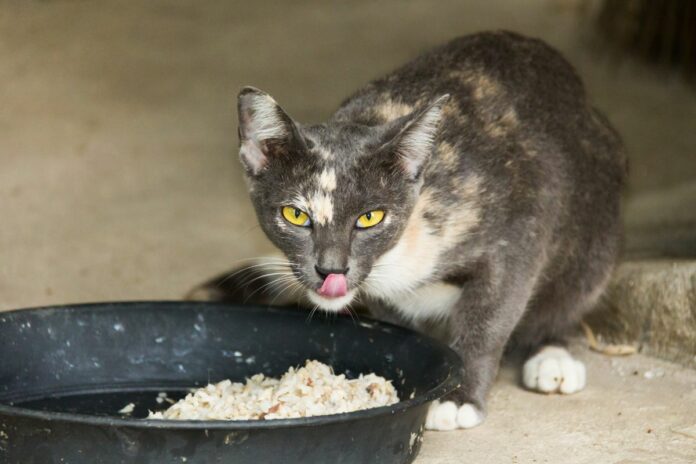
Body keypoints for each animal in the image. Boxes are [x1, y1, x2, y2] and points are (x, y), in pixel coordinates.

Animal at [190, 31, 624, 432]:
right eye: (296, 215)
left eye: (370, 218)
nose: (331, 269)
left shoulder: (521, 226)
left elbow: (490, 314)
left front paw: (459, 398)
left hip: (595, 230)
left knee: (570, 292)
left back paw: (553, 356)